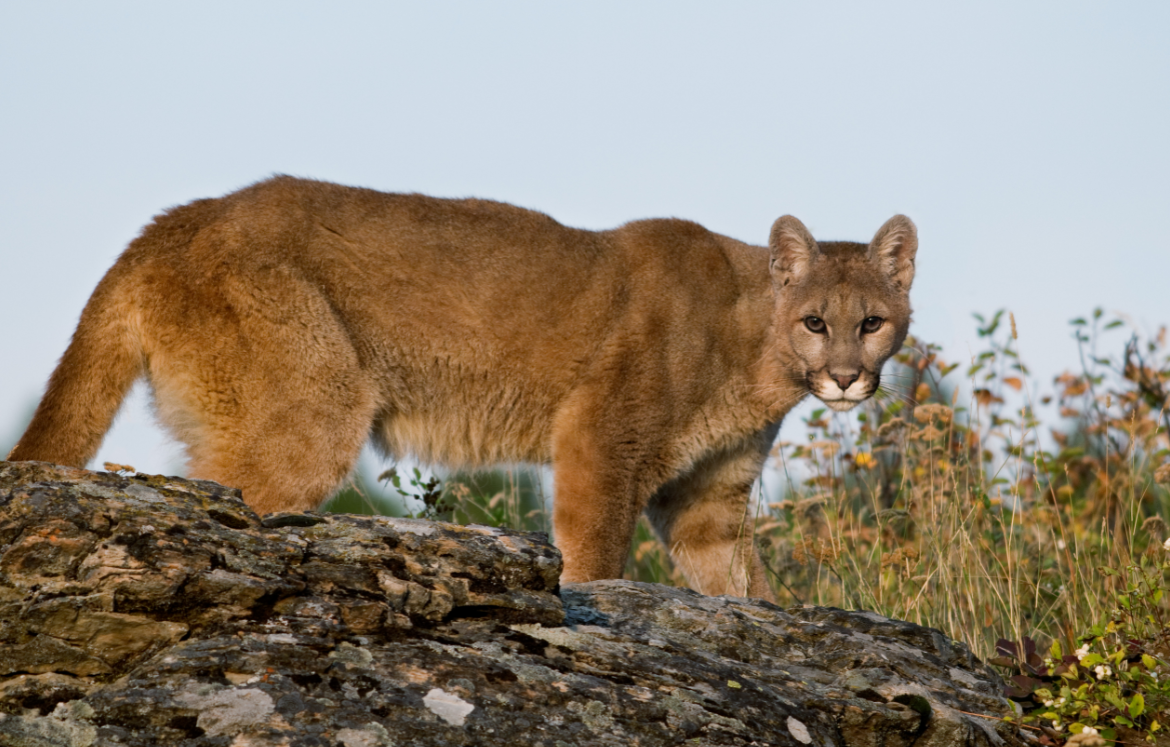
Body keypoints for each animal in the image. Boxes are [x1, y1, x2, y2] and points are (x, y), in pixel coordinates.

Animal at [11, 176, 921, 604]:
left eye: (873, 321)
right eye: (816, 321)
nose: (847, 374)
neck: (754, 346)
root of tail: (166, 223)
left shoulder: (710, 499)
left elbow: (745, 588)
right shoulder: (599, 439)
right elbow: (595, 556)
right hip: (315, 407)